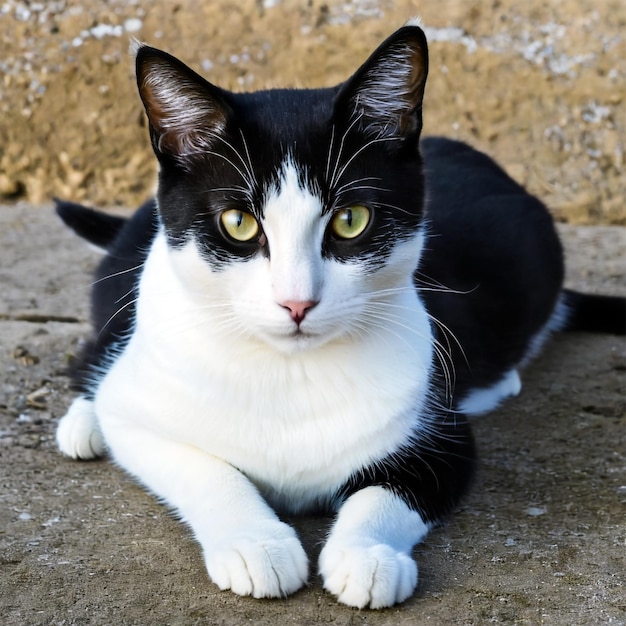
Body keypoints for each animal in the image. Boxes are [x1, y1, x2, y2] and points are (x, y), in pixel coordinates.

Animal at [54, 23, 624, 604]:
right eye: (238, 223)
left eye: (351, 220)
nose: (297, 302)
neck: (289, 374)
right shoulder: (140, 417)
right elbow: (201, 466)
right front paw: (257, 544)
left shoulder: (442, 436)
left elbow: (390, 493)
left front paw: (366, 556)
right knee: (98, 358)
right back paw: (84, 420)